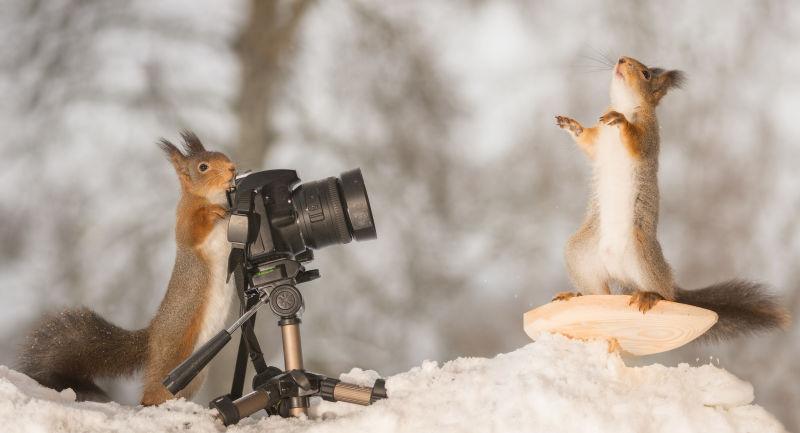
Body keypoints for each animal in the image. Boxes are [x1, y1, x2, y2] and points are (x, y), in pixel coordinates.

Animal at [552, 55, 792, 340]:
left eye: (645, 74)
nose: (621, 59)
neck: (624, 102)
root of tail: (621, 274)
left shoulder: (649, 134)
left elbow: (636, 141)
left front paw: (620, 120)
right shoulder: (598, 138)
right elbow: (587, 142)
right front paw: (571, 124)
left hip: (642, 250)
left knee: (665, 295)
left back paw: (650, 296)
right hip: (581, 255)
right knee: (601, 293)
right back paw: (576, 295)